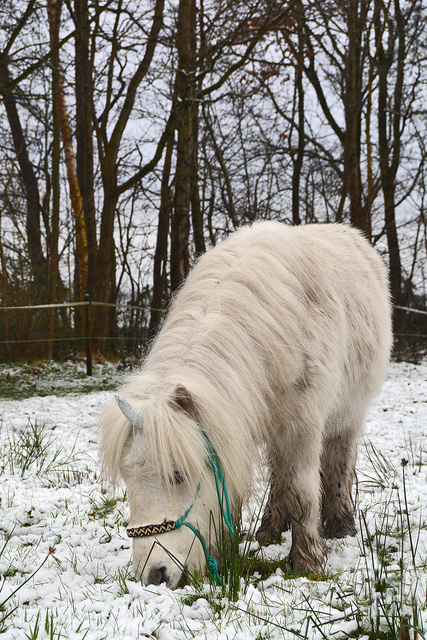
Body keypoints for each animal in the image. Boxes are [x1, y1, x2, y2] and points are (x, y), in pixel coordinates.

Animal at [98, 222, 392, 588]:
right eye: (128, 479)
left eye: (178, 475)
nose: (153, 575)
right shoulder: (235, 428)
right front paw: (227, 553)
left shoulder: (302, 427)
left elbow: (301, 494)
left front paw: (307, 563)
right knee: (279, 474)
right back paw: (270, 528)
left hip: (346, 414)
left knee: (339, 461)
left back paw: (340, 524)